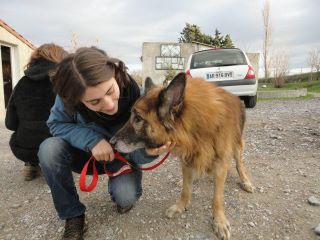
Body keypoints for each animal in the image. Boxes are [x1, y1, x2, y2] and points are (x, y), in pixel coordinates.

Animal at [111, 73, 254, 240]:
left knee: (239, 164)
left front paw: (219, 220)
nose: (111, 142)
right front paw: (180, 206)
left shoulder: (219, 163)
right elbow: (186, 189)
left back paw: (245, 181)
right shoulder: (187, 160)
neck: (194, 130)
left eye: (138, 119)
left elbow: (217, 198)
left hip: (237, 146)